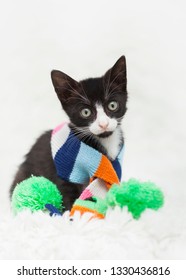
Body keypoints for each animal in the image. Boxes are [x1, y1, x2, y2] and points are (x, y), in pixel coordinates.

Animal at [10, 56, 128, 210]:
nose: (104, 124)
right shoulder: (63, 172)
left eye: (112, 105)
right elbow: (67, 194)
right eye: (86, 112)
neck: (105, 141)